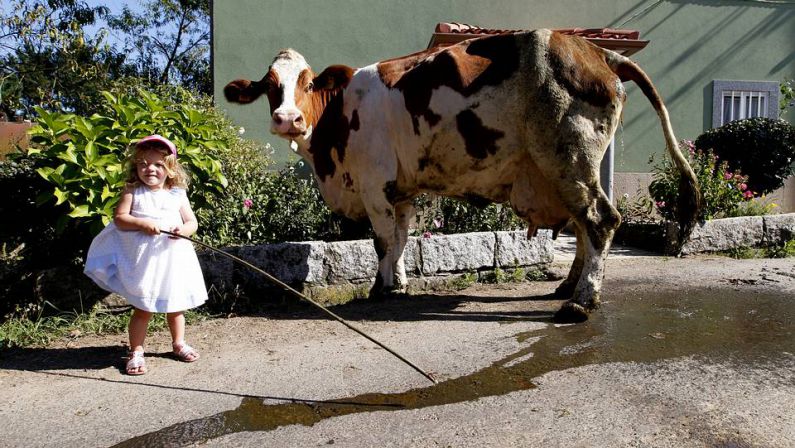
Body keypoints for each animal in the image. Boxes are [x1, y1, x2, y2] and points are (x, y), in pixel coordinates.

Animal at [224, 28, 704, 322]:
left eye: (307, 83)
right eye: (269, 87)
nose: (287, 120)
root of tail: (595, 50)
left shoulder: (374, 183)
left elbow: (381, 240)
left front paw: (381, 288)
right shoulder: (401, 191)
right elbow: (400, 239)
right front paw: (399, 283)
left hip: (569, 159)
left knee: (600, 220)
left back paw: (581, 303)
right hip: (568, 169)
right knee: (585, 227)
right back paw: (568, 287)